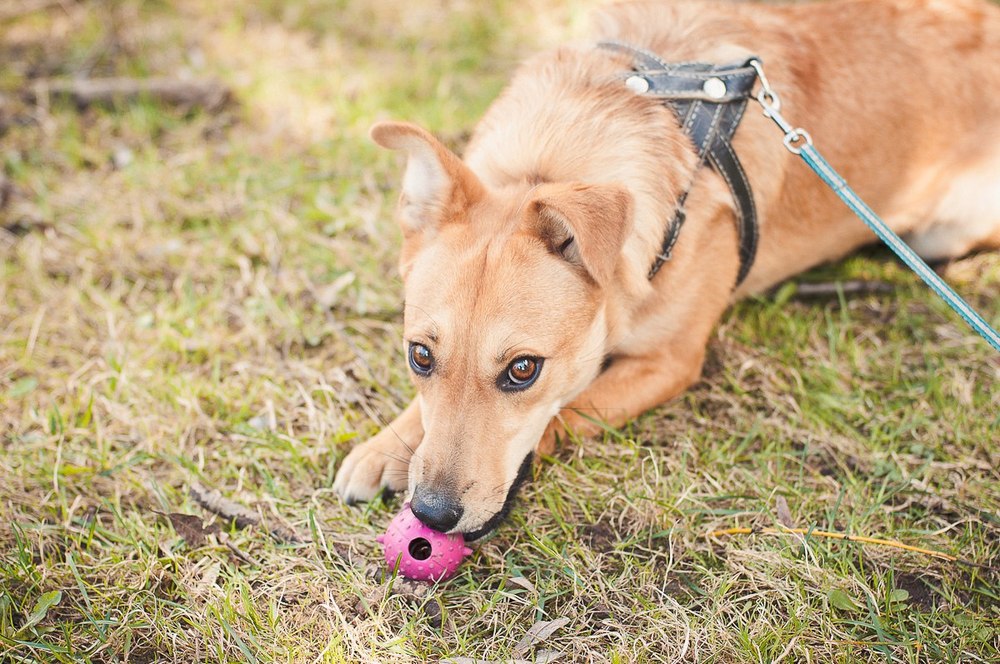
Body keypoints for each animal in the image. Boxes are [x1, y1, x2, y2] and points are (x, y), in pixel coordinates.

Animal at [334, 0, 1000, 540]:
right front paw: (386, 446)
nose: (431, 514)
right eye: (420, 356)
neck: (550, 164)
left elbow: (569, 411)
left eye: (524, 370)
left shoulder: (668, 363)